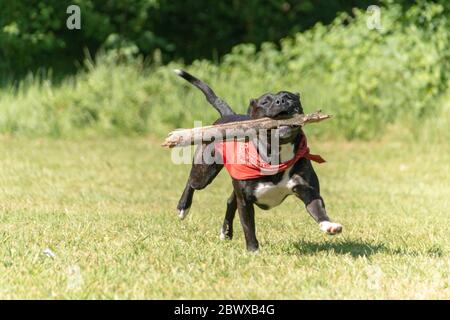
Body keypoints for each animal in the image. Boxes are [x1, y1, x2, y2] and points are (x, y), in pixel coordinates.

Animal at [173, 70, 342, 252]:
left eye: (289, 97)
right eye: (265, 101)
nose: (281, 101)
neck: (275, 156)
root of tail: (228, 116)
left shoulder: (307, 189)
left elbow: (317, 208)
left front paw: (329, 225)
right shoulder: (245, 200)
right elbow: (248, 226)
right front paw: (253, 251)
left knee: (230, 201)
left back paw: (226, 232)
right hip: (204, 169)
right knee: (192, 182)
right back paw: (183, 207)